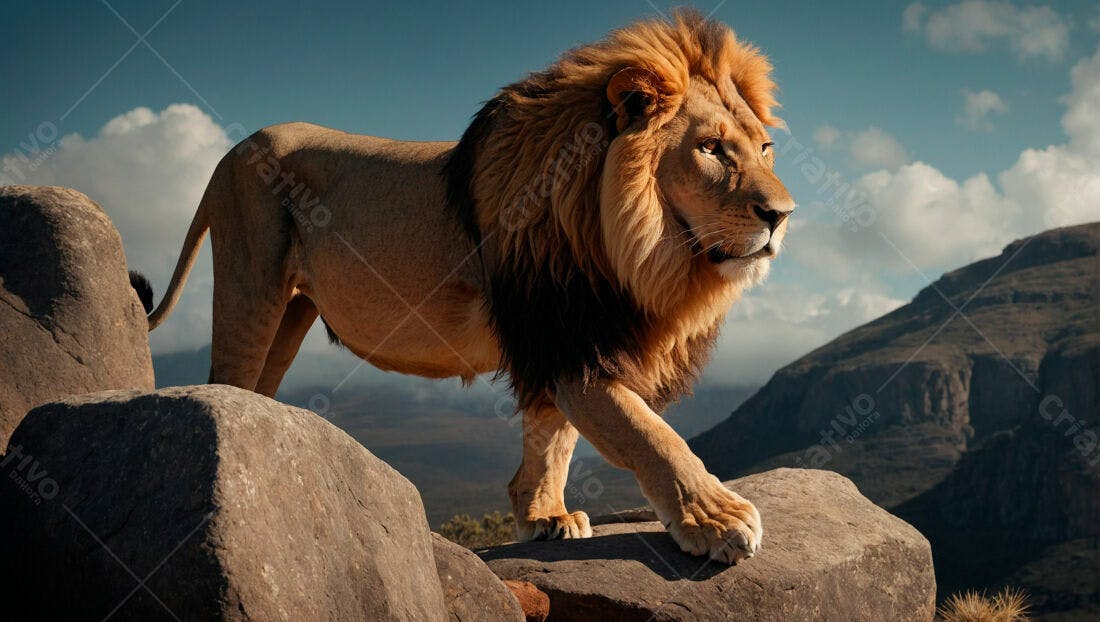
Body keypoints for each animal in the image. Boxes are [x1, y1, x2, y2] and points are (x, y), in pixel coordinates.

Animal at [142, 10, 793, 564]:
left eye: (764, 149)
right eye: (710, 148)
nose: (782, 215)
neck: (639, 250)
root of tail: (229, 150)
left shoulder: (561, 344)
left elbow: (553, 441)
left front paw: (544, 517)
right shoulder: (566, 341)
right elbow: (650, 435)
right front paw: (715, 518)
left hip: (291, 314)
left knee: (258, 390)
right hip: (250, 286)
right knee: (225, 385)